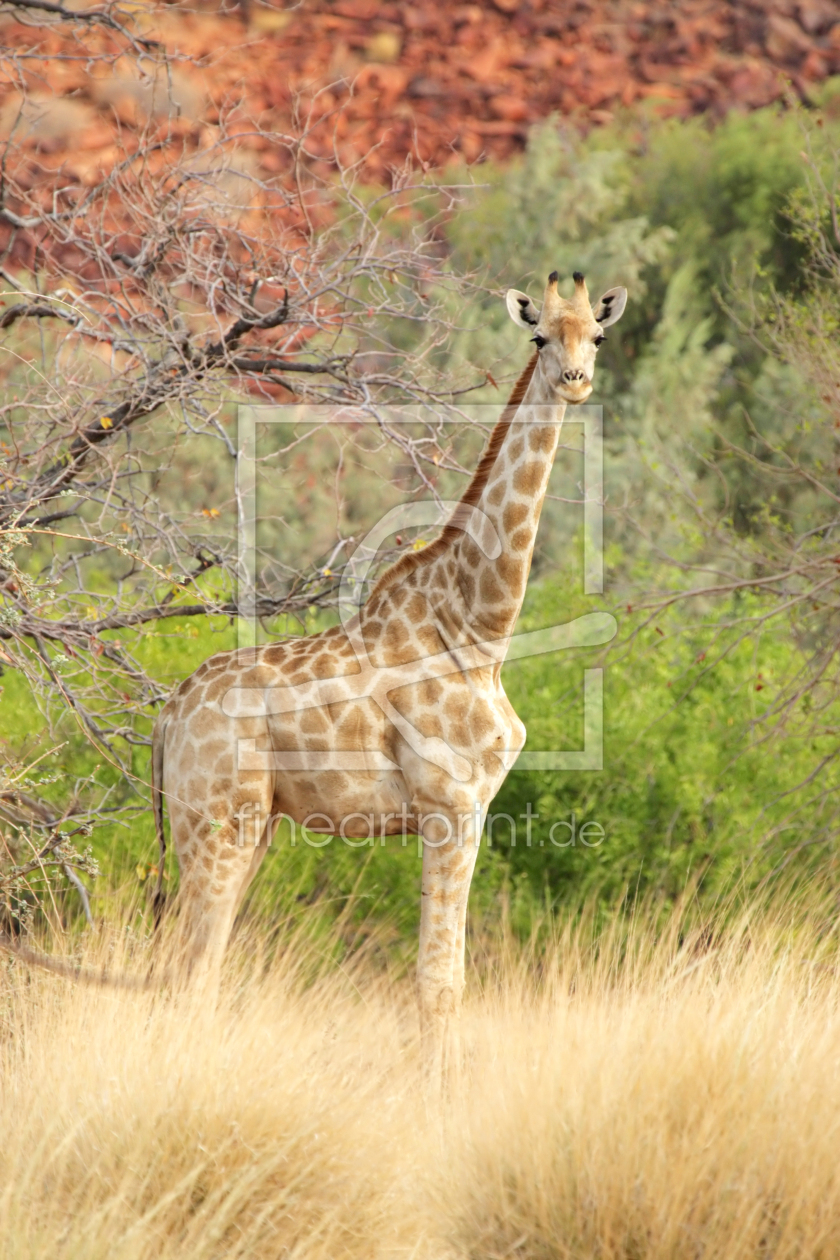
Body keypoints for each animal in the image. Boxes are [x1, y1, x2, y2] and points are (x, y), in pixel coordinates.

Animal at [151, 270, 627, 1052]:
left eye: (597, 335)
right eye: (538, 337)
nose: (576, 381)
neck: (479, 627)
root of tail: (169, 715)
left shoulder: (470, 807)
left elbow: (443, 981)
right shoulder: (451, 804)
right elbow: (440, 986)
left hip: (252, 825)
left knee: (196, 967)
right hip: (216, 820)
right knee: (189, 972)